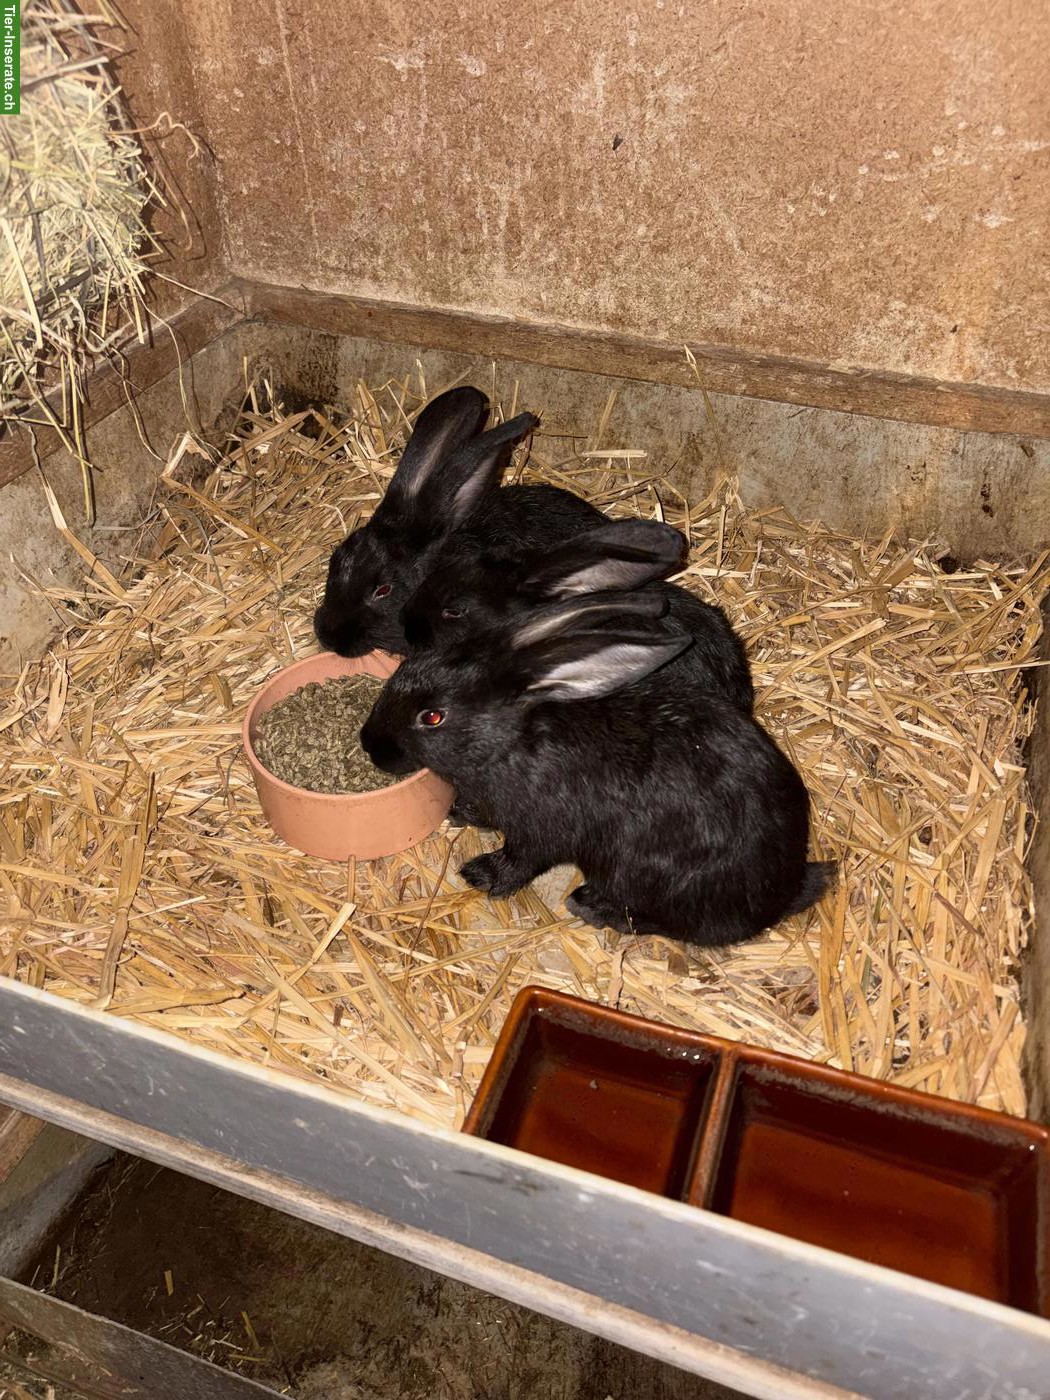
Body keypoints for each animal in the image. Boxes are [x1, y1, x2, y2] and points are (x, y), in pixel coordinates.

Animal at [360, 591, 834, 947]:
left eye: (432, 717)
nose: (369, 745)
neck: (513, 740)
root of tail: (785, 890)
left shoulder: (541, 830)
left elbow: (520, 861)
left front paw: (479, 874)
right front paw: (460, 812)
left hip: (649, 877)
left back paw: (590, 906)